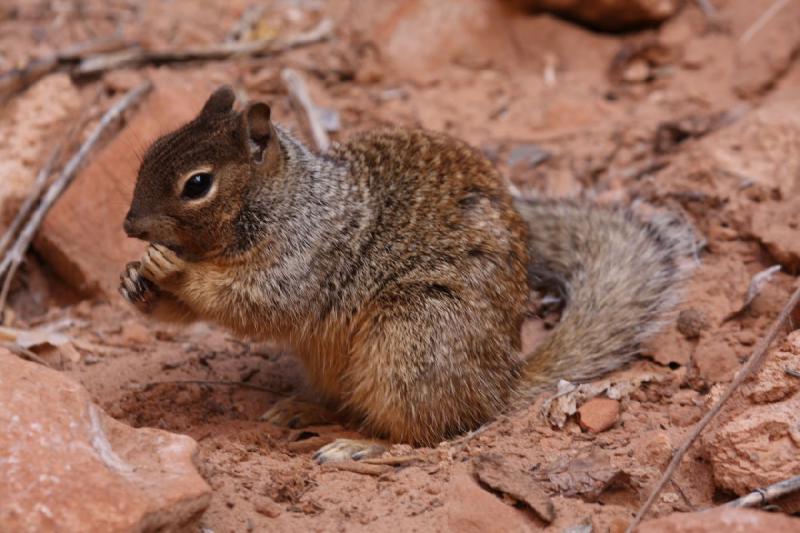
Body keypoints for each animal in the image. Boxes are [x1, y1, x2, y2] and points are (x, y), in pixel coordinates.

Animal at [120, 86, 700, 462]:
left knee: (422, 433)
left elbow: (254, 301)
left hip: (409, 342)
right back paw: (303, 409)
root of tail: (497, 388)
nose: (130, 225)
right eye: (150, 152)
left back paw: (358, 445)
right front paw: (136, 282)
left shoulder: (305, 258)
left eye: (198, 184)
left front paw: (173, 268)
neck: (290, 199)